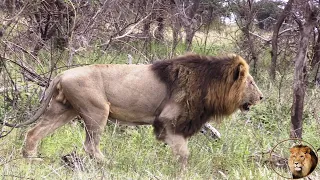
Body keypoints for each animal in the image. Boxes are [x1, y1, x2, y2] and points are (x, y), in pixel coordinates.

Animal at [5, 53, 262, 167]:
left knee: (34, 132)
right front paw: (181, 169)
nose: (261, 96)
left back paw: (31, 159)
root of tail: (62, 73)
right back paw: (108, 163)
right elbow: (183, 151)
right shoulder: (169, 120)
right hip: (97, 110)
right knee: (90, 145)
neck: (209, 82)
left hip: (64, 110)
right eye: (250, 82)